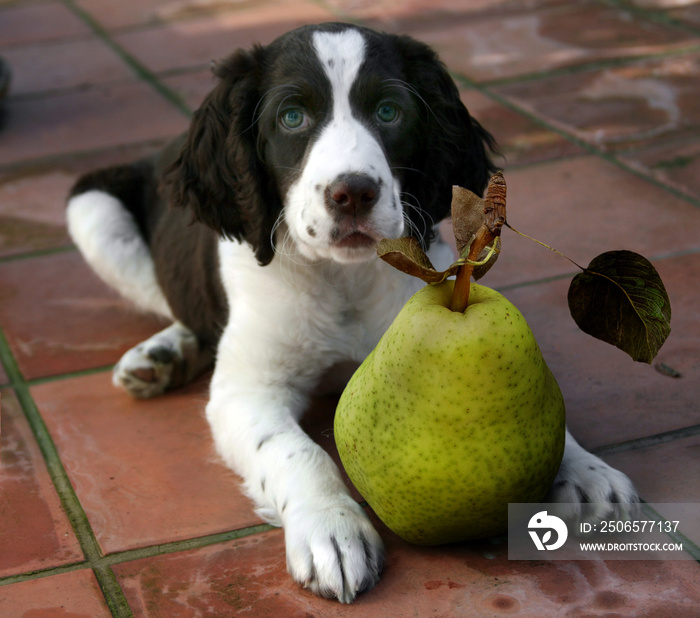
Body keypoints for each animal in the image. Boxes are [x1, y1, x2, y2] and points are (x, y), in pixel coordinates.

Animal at [67, 21, 640, 600]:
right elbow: (297, 452)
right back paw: (163, 352)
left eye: (389, 111)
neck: (341, 278)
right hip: (91, 209)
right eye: (291, 117)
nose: (353, 194)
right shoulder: (247, 393)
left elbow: (545, 404)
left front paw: (585, 471)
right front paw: (331, 529)